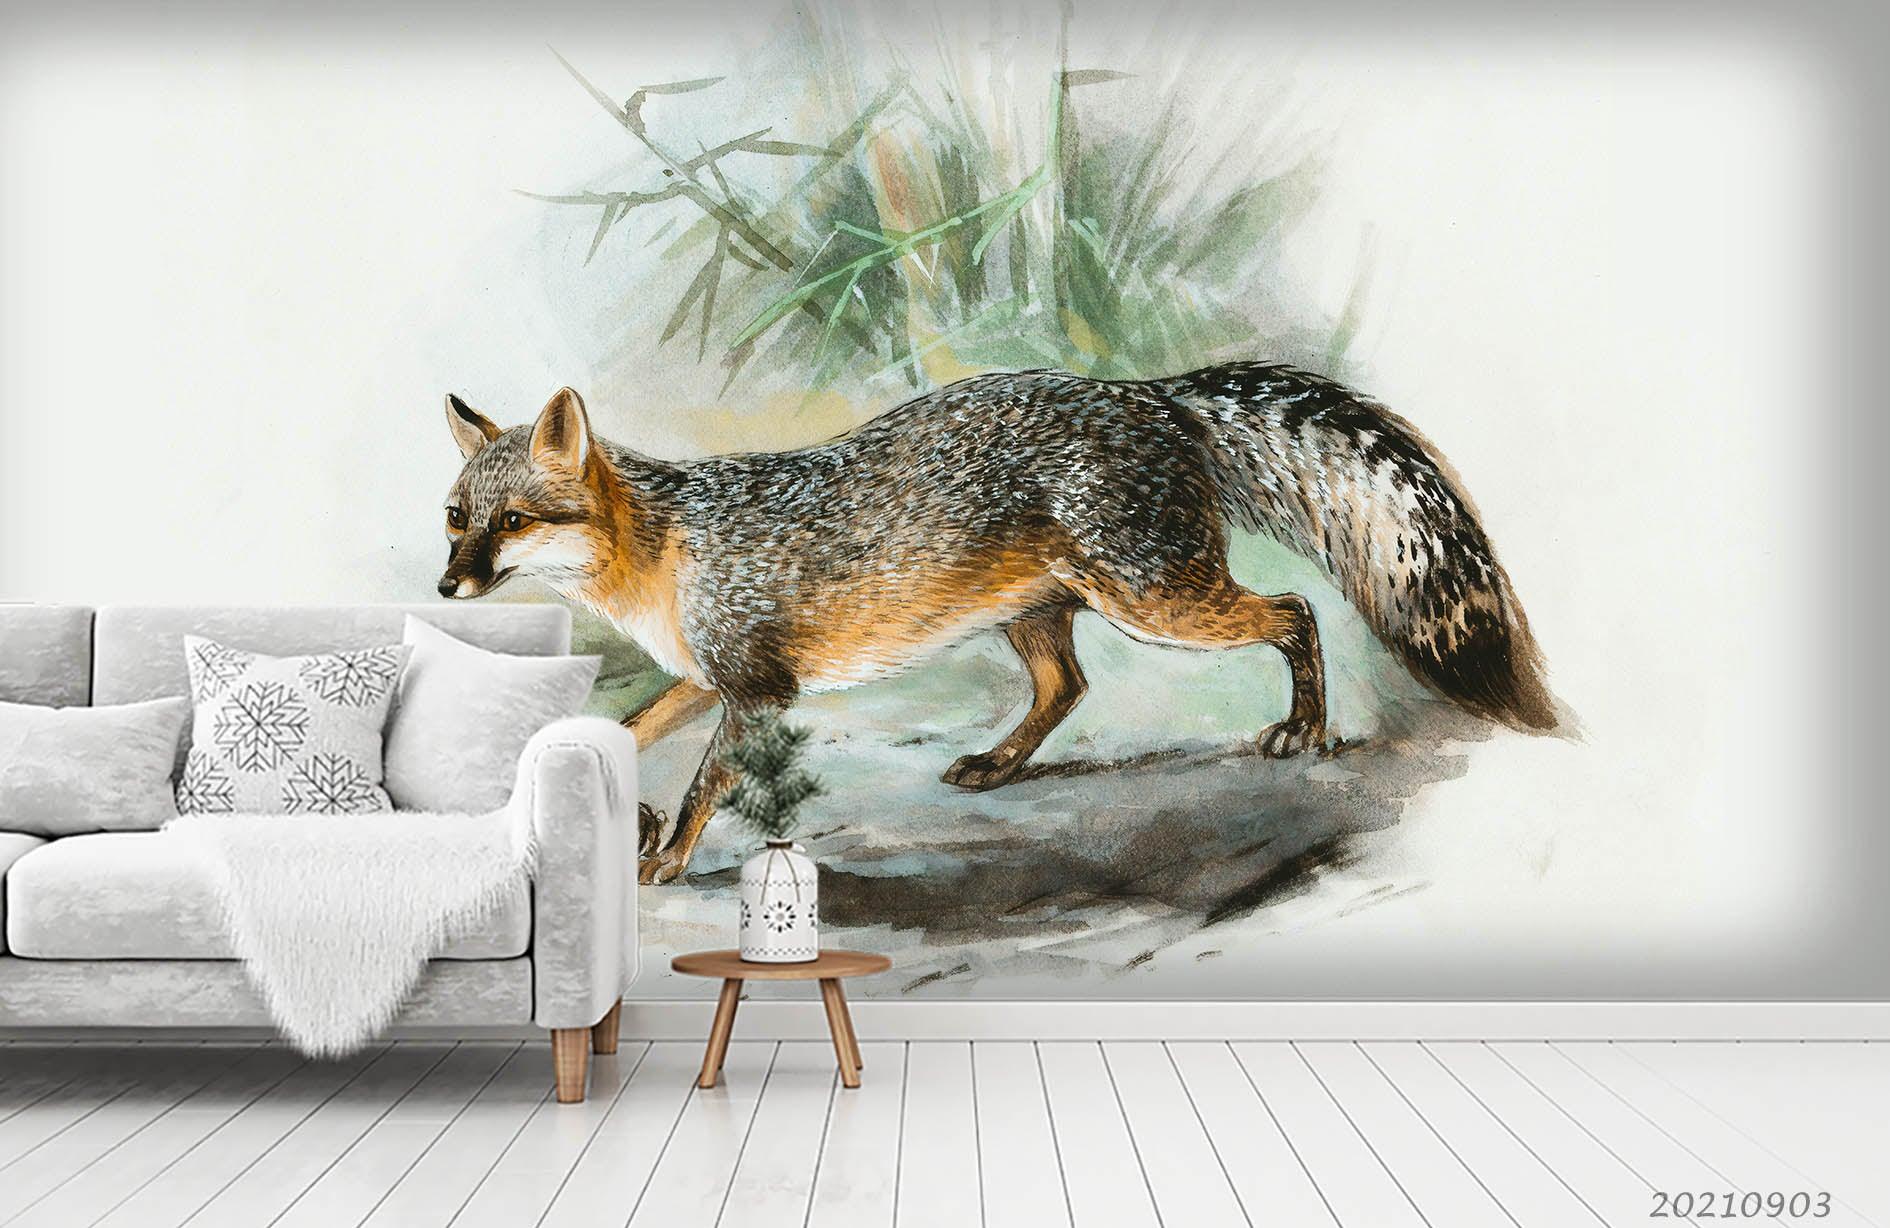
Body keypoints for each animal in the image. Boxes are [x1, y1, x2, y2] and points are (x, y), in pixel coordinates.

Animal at [437, 363, 1556, 883]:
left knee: (1295, 609)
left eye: (513, 523)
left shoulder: (756, 689)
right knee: (1071, 685)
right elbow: (628, 726)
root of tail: (1147, 394)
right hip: (1047, 617)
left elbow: (708, 781)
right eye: (456, 518)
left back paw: (1304, 727)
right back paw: (999, 763)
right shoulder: (708, 677)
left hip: (1159, 601)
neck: (665, 553)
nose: (447, 590)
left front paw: (666, 856)